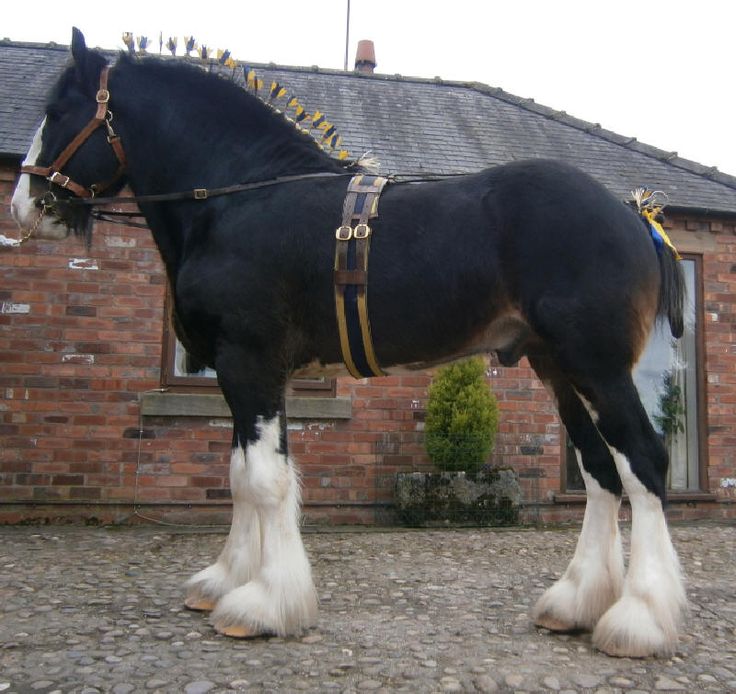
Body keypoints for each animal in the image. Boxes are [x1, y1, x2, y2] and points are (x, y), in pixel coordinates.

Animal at [11, 28, 688, 656]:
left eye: (59, 110)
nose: (25, 205)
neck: (239, 197)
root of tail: (633, 214)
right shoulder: (246, 374)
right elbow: (240, 474)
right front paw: (226, 580)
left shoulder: (249, 362)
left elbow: (263, 481)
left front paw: (262, 604)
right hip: (559, 369)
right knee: (601, 471)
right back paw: (575, 603)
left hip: (597, 366)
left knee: (644, 462)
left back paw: (638, 619)